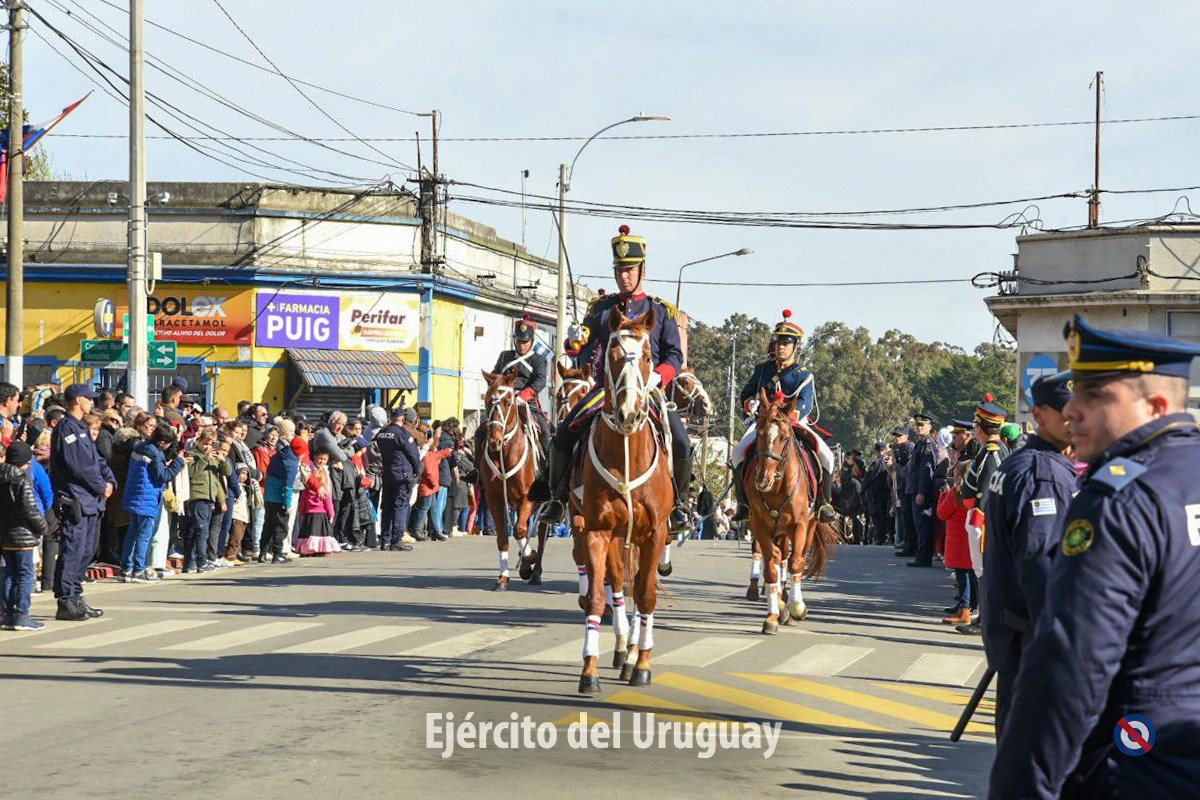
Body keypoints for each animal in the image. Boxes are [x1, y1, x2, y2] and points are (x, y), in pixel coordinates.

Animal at [475, 371, 542, 592]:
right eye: (488, 400)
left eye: (508, 401)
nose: (494, 441)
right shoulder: (494, 499)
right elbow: (503, 537)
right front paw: (503, 578)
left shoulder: (528, 496)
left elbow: (520, 531)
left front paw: (530, 558)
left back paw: (534, 569)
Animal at [571, 307, 676, 695]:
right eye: (614, 356)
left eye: (647, 357)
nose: (629, 413)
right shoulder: (596, 530)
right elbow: (598, 597)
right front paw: (589, 669)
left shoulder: (655, 533)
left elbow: (645, 595)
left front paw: (642, 664)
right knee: (616, 582)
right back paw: (621, 648)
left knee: (637, 587)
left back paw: (632, 653)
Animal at [744, 391, 840, 633]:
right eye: (759, 434)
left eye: (784, 438)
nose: (763, 480)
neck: (778, 486)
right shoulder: (760, 526)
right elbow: (771, 567)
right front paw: (772, 615)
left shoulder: (799, 525)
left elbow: (796, 562)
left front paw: (797, 607)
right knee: (779, 557)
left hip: (808, 527)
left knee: (795, 557)